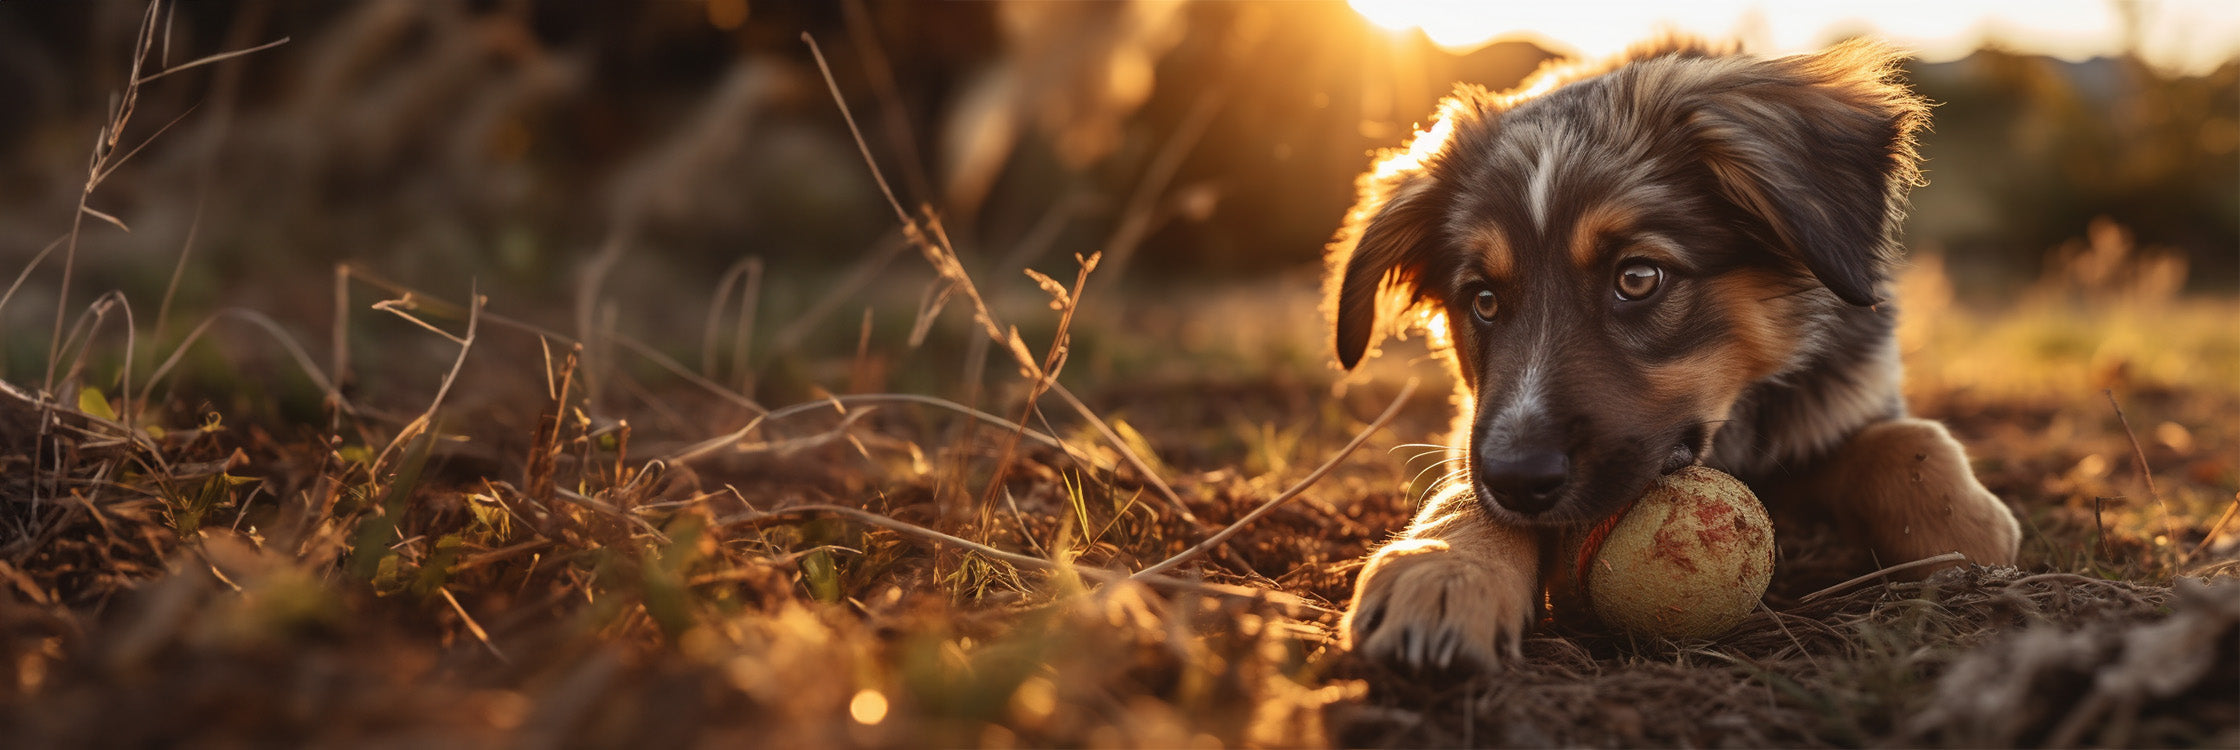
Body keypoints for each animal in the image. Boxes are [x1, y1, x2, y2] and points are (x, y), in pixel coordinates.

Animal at [1317, 38, 2024, 671]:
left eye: (1638, 278)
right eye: (1484, 301)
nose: (1519, 478)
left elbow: (1909, 441)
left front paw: (1968, 535)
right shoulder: (1476, 425)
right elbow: (1464, 487)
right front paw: (1444, 569)